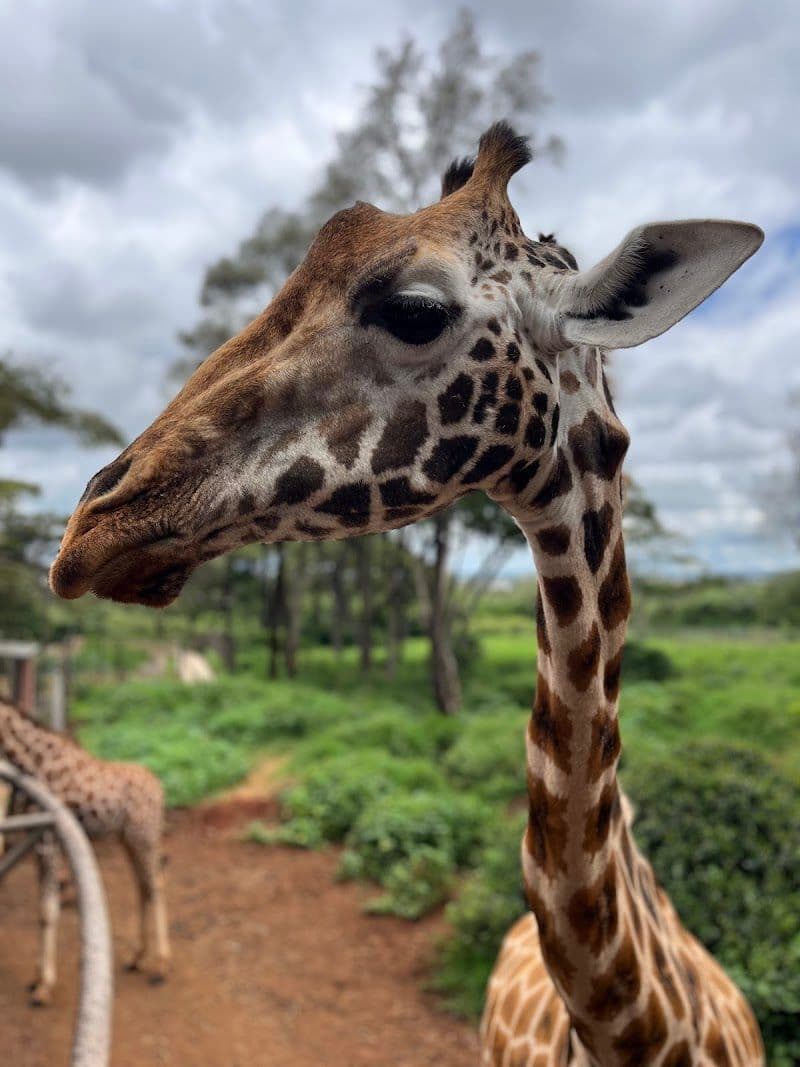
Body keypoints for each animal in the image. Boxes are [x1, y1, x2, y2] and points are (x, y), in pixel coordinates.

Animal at [0, 698, 170, 1004]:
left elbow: (48, 910)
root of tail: (159, 787)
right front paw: (36, 979)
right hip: (127, 839)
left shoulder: (48, 842)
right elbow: (42, 911)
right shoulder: (39, 845)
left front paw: (45, 987)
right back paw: (137, 957)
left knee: (156, 884)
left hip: (145, 836)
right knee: (143, 885)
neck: (34, 763)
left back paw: (161, 965)